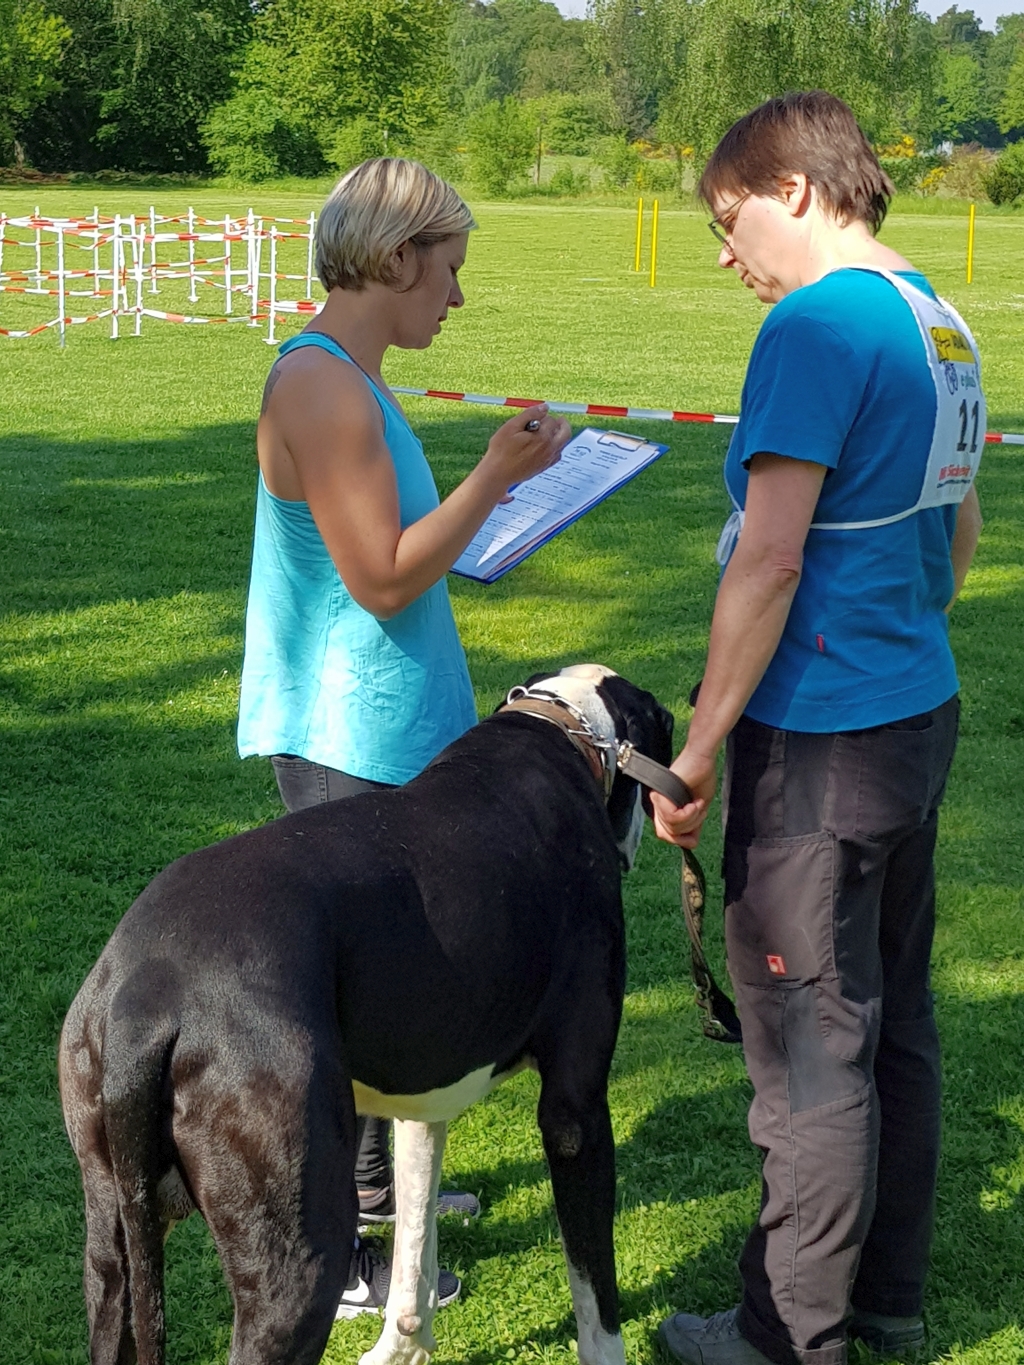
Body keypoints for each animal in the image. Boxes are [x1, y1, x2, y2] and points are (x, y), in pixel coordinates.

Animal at [59, 664, 675, 1365]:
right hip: (300, 1271)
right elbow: (596, 1300)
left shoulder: (421, 1106)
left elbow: (414, 1247)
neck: (561, 728)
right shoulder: (576, 1115)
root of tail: (145, 998)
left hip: (112, 1248)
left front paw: (402, 1346)